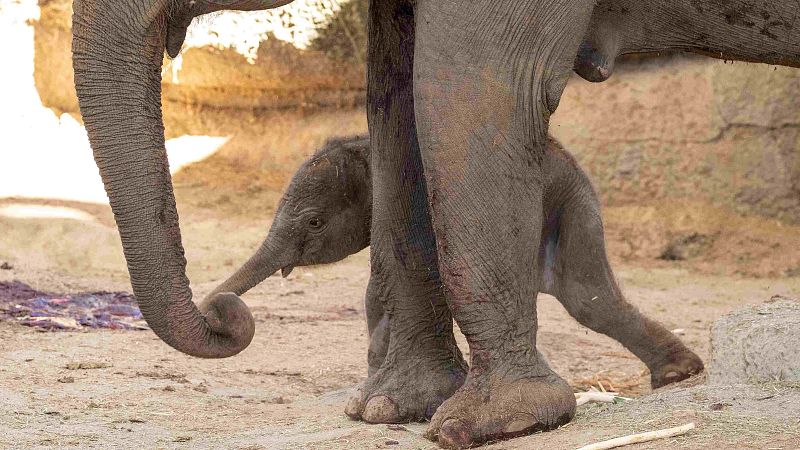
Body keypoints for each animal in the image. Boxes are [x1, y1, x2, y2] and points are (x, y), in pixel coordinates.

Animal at [208, 134, 703, 387]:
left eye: (313, 223)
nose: (220, 309)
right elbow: (378, 290)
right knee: (588, 298)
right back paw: (677, 374)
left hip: (570, 203)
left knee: (586, 298)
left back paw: (678, 374)